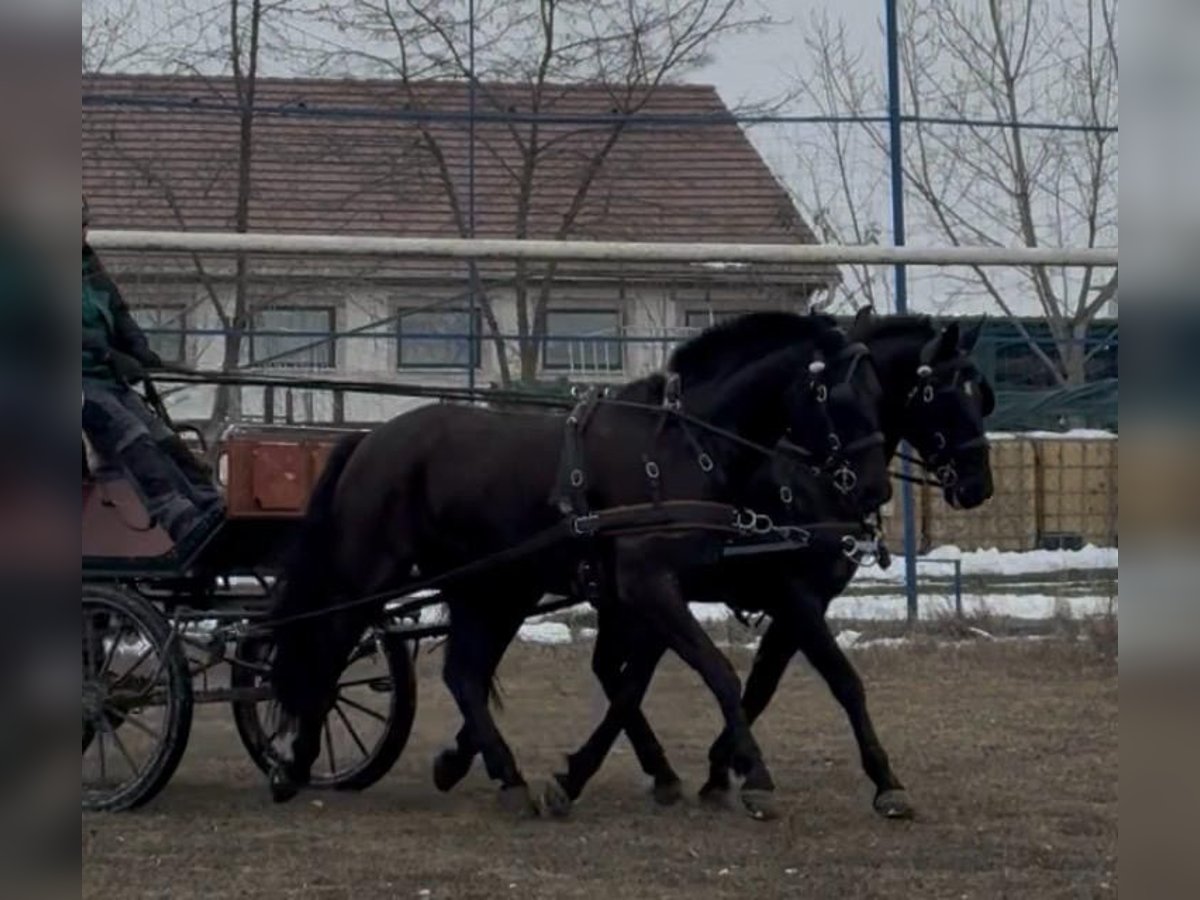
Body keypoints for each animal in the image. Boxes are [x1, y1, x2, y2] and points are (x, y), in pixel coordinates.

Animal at [266, 312, 893, 817]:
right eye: (841, 398)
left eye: (880, 393)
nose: (875, 489)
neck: (681, 448)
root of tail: (369, 439)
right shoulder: (649, 586)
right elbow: (720, 673)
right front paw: (754, 776)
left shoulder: (668, 594)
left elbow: (643, 683)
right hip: (374, 571)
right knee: (330, 647)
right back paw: (295, 764)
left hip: (490, 586)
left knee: (462, 673)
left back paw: (505, 776)